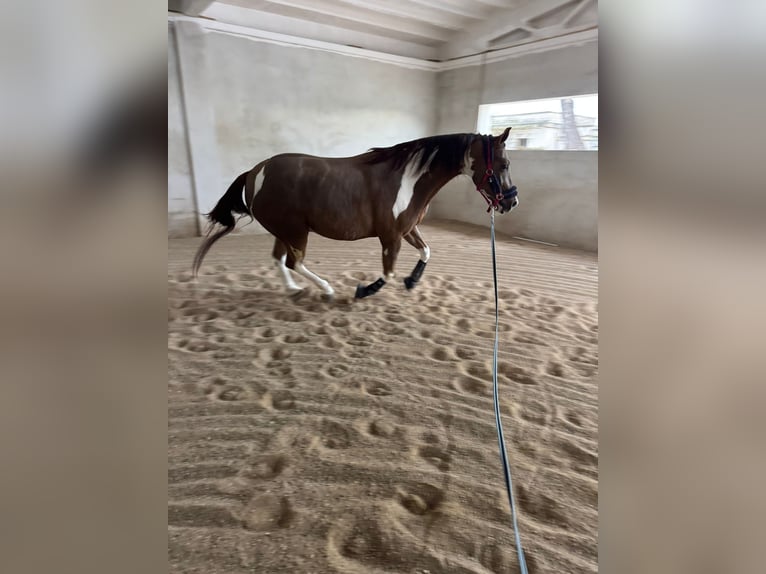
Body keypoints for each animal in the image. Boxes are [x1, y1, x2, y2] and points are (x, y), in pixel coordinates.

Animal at [192, 128, 519, 299]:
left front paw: (412, 281)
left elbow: (426, 251)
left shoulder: (407, 229)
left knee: (280, 259)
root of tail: (255, 172)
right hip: (294, 231)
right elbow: (387, 272)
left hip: (284, 231)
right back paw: (325, 288)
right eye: (504, 164)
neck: (409, 178)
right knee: (296, 262)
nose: (510, 202)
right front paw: (364, 290)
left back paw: (294, 289)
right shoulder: (391, 237)